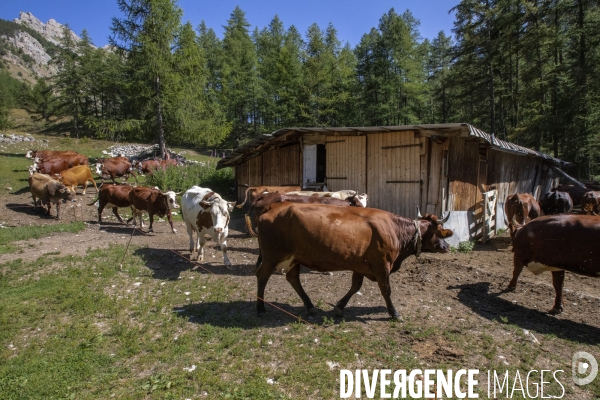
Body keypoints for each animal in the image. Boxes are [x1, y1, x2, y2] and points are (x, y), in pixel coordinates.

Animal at [255, 203, 452, 318]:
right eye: (439, 231)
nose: (447, 247)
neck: (395, 230)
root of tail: (271, 210)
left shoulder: (360, 266)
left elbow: (355, 287)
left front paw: (339, 307)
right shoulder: (382, 266)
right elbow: (386, 290)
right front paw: (394, 313)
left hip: (294, 258)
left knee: (293, 278)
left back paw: (310, 306)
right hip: (272, 256)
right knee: (262, 276)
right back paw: (260, 307)